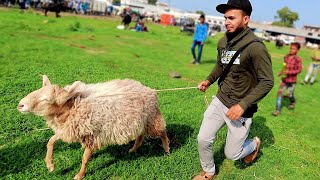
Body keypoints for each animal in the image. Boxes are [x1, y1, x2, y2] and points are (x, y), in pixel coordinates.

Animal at [18, 75, 170, 179]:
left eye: (46, 99)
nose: (20, 105)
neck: (73, 106)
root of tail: (149, 89)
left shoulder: (93, 136)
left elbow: (85, 159)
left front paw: (79, 175)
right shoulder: (69, 130)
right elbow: (51, 141)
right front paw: (50, 165)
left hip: (152, 119)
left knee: (162, 132)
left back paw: (167, 149)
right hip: (139, 121)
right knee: (140, 135)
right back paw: (133, 149)